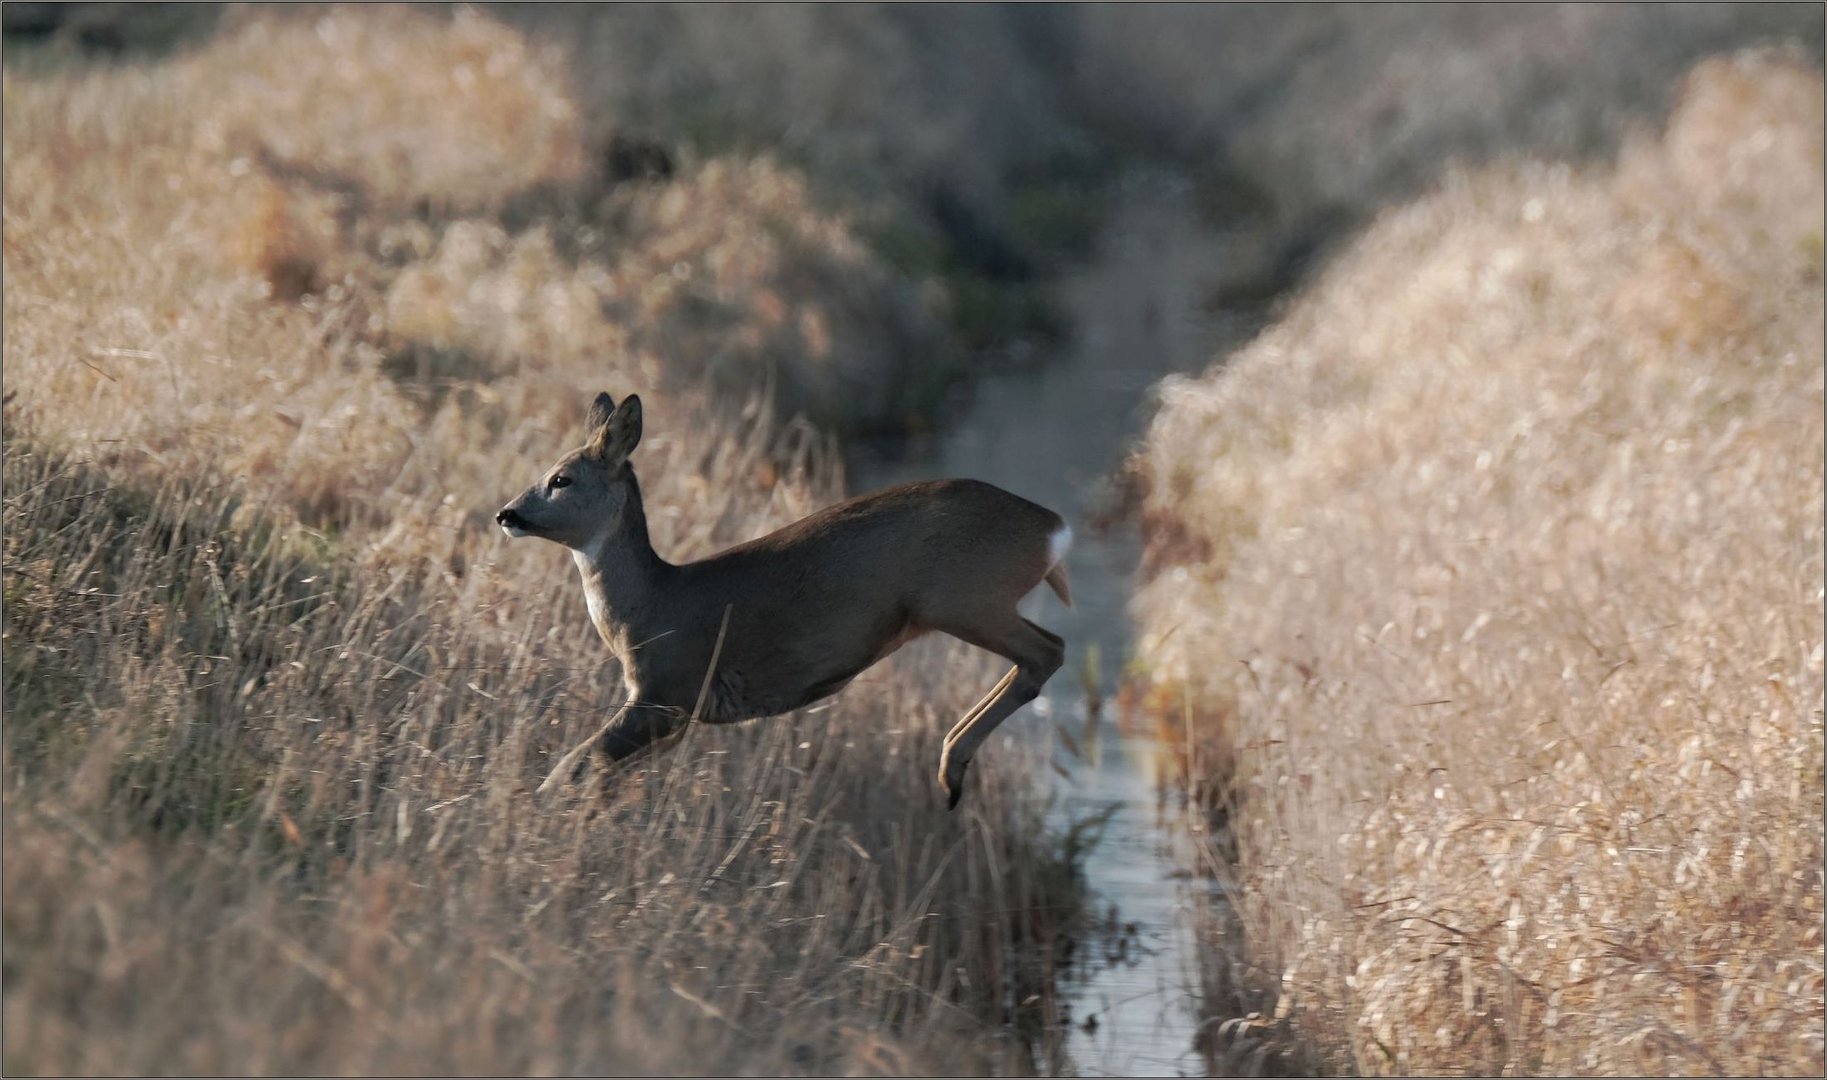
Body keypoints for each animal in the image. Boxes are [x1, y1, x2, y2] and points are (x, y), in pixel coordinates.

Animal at [496, 392, 1066, 807]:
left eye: (561, 478)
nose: (506, 513)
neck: (651, 605)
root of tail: (1051, 529)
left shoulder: (667, 690)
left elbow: (575, 764)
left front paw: (536, 809)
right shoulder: (674, 719)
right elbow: (598, 773)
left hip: (964, 596)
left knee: (1048, 650)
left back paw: (951, 770)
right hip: (967, 603)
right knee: (1041, 653)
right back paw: (951, 767)